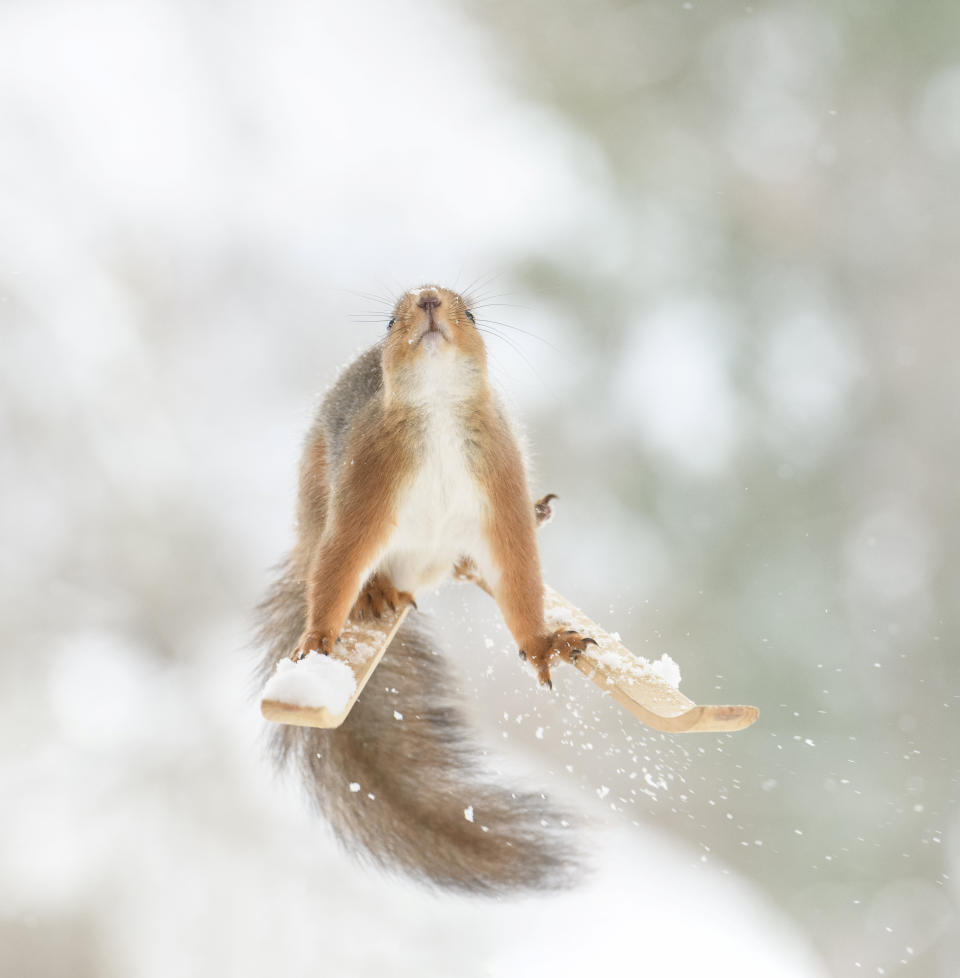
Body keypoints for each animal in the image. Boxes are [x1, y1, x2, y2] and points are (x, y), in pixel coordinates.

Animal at [255, 284, 588, 892]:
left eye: (472, 313)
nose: (429, 296)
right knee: (326, 558)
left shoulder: (499, 480)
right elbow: (340, 559)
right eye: (390, 322)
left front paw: (544, 644)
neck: (437, 410)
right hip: (321, 505)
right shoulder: (368, 481)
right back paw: (373, 594)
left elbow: (518, 569)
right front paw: (318, 638)